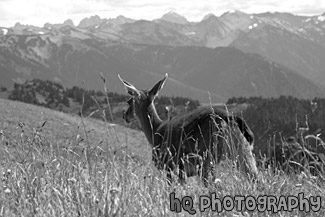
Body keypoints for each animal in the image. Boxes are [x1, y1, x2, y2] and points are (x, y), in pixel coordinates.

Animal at [117, 73, 256, 186]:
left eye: (129, 101)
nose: (125, 116)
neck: (155, 131)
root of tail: (229, 117)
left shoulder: (169, 164)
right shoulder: (181, 171)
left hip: (207, 155)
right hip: (243, 149)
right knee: (254, 177)